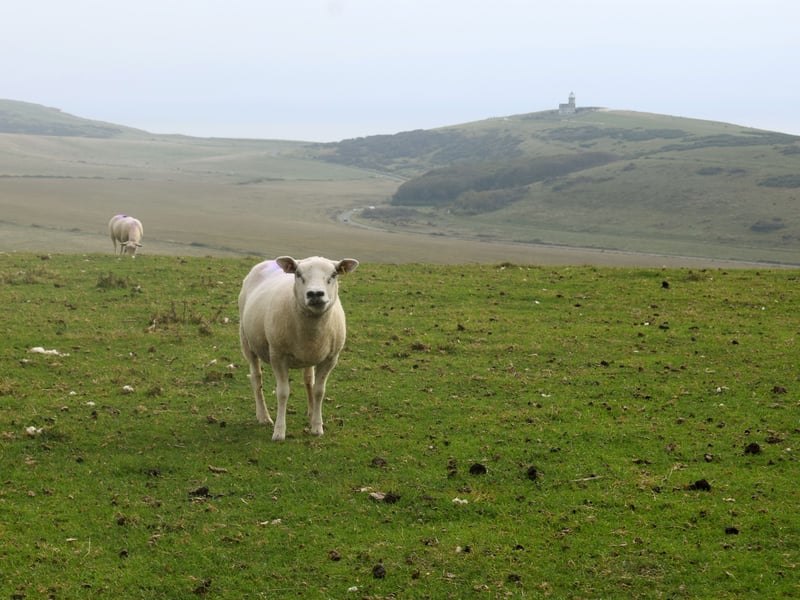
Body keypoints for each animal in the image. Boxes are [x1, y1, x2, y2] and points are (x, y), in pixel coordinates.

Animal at [238, 255, 359, 441]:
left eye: (333, 274)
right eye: (298, 274)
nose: (315, 294)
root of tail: (267, 262)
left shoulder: (330, 359)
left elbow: (318, 391)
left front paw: (317, 426)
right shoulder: (278, 356)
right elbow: (283, 392)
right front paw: (279, 432)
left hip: (309, 355)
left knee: (308, 379)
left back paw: (310, 411)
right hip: (247, 341)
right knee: (256, 377)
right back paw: (263, 416)